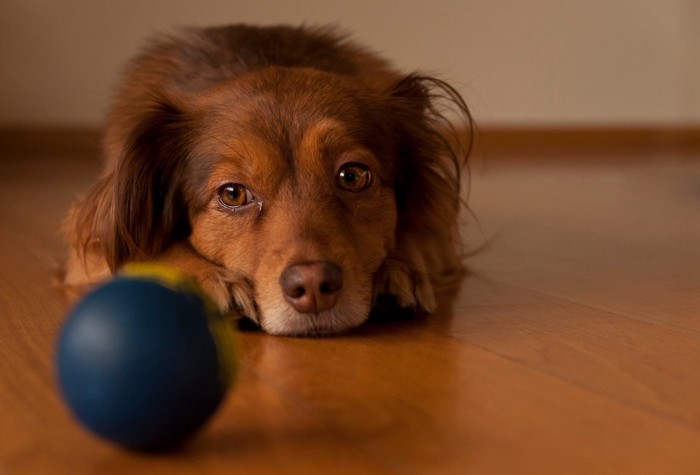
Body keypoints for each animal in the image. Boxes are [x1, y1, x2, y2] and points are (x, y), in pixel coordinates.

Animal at [61, 24, 476, 336]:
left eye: (353, 176)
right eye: (232, 193)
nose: (314, 286)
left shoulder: (442, 237)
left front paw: (396, 270)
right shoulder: (90, 243)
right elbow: (138, 249)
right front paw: (206, 280)